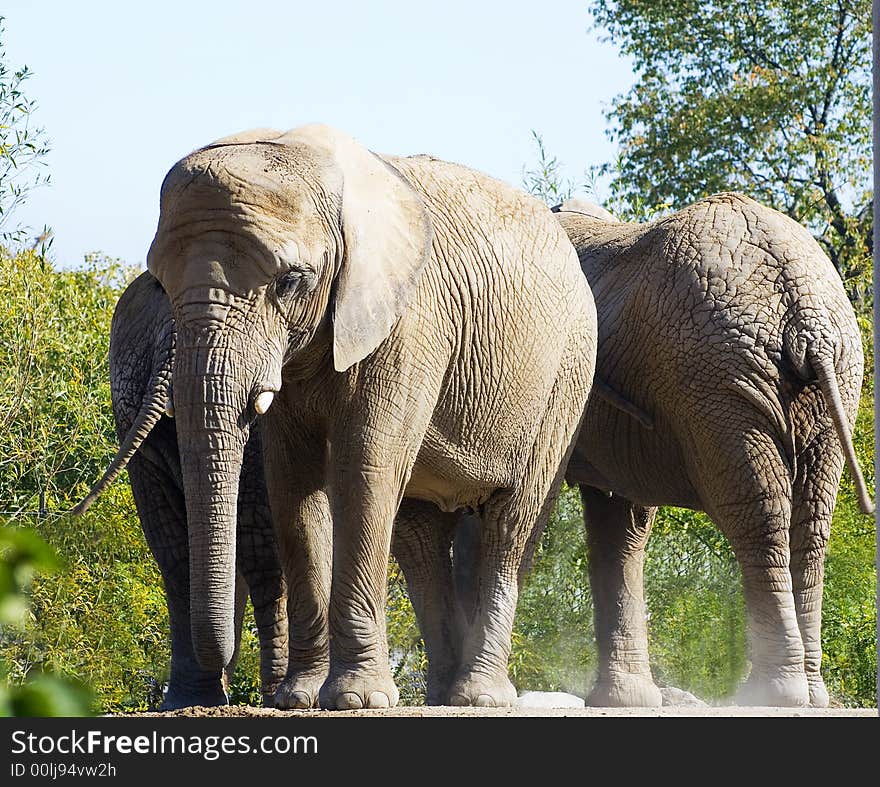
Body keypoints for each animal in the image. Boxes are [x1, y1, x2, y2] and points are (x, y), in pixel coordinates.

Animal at [552, 192, 872, 708]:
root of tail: (803, 306)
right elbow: (621, 519)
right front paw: (626, 702)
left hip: (717, 375)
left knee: (760, 513)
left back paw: (768, 695)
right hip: (812, 376)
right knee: (809, 521)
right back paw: (806, 694)